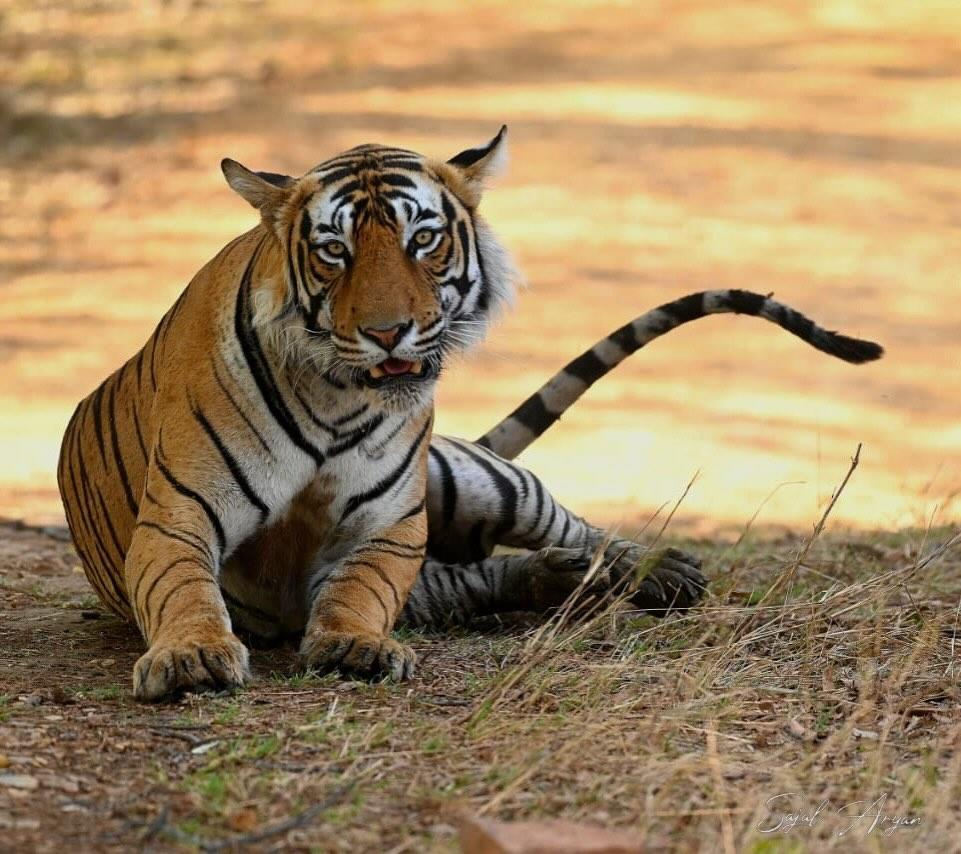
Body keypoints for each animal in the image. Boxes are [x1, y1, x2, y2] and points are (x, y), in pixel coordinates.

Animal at [57, 127, 883, 701]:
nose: (387, 331)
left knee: (569, 525)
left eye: (422, 239)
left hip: (475, 481)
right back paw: (561, 579)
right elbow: (184, 588)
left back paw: (655, 570)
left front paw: (354, 644)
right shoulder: (179, 515)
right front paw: (192, 655)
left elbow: (359, 591)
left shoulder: (389, 524)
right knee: (477, 579)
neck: (334, 395)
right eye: (334, 251)